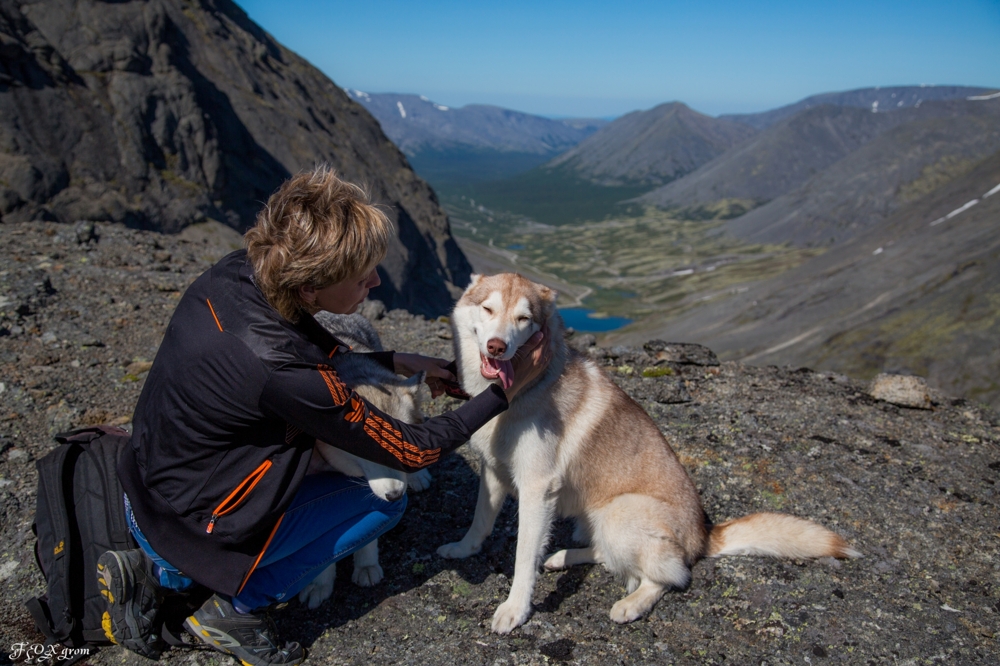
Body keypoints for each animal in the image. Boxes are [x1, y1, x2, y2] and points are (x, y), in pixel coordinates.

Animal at [440, 272, 860, 632]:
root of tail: (704, 535)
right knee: (605, 553)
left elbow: (524, 560)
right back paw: (561, 557)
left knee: (671, 575)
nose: (497, 346)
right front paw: (463, 549)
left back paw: (632, 603)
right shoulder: (493, 471)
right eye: (488, 309)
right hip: (595, 518)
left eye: (524, 319)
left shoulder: (537, 490)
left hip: (619, 513)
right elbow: (480, 521)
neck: (518, 391)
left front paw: (515, 608)